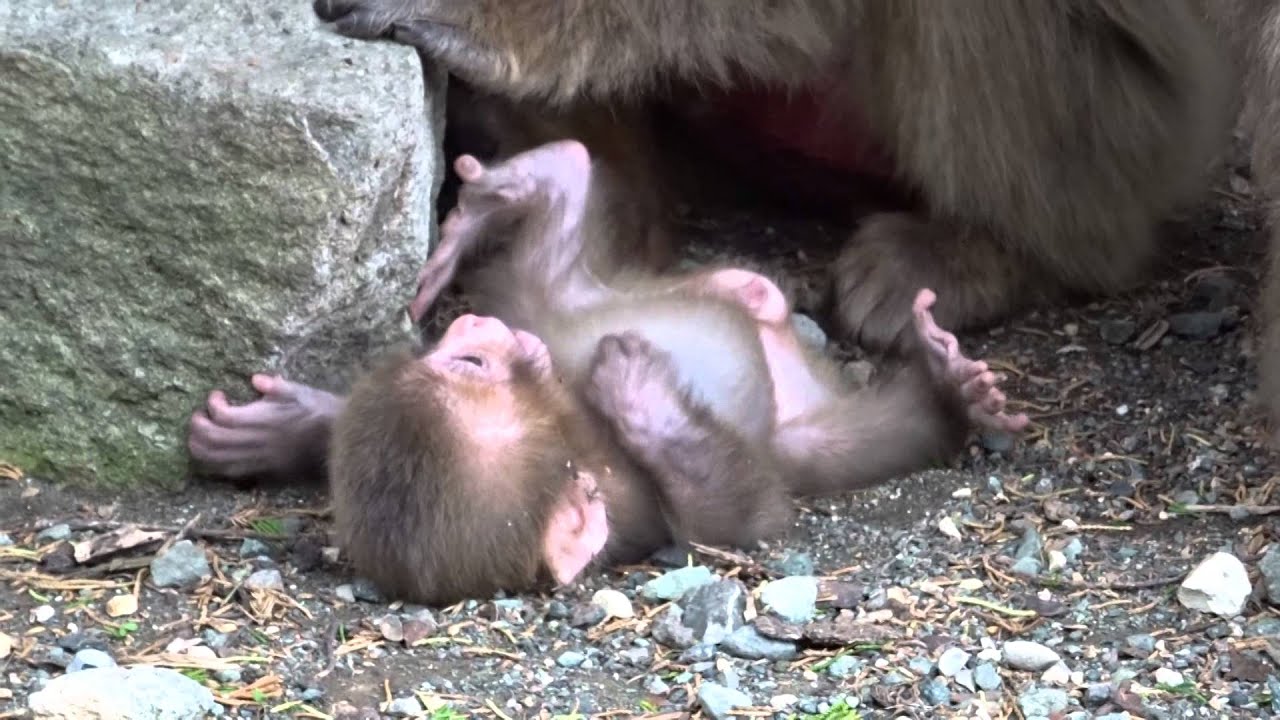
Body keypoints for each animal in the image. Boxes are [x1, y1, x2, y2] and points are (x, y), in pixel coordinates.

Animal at [189, 139, 1028, 604]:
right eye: (471, 363)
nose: (469, 325)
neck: (571, 422)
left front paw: (292, 423)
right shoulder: (633, 509)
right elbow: (736, 520)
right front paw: (637, 392)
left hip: (568, 296)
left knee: (549, 252)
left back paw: (516, 190)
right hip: (802, 421)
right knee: (864, 438)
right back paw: (949, 392)